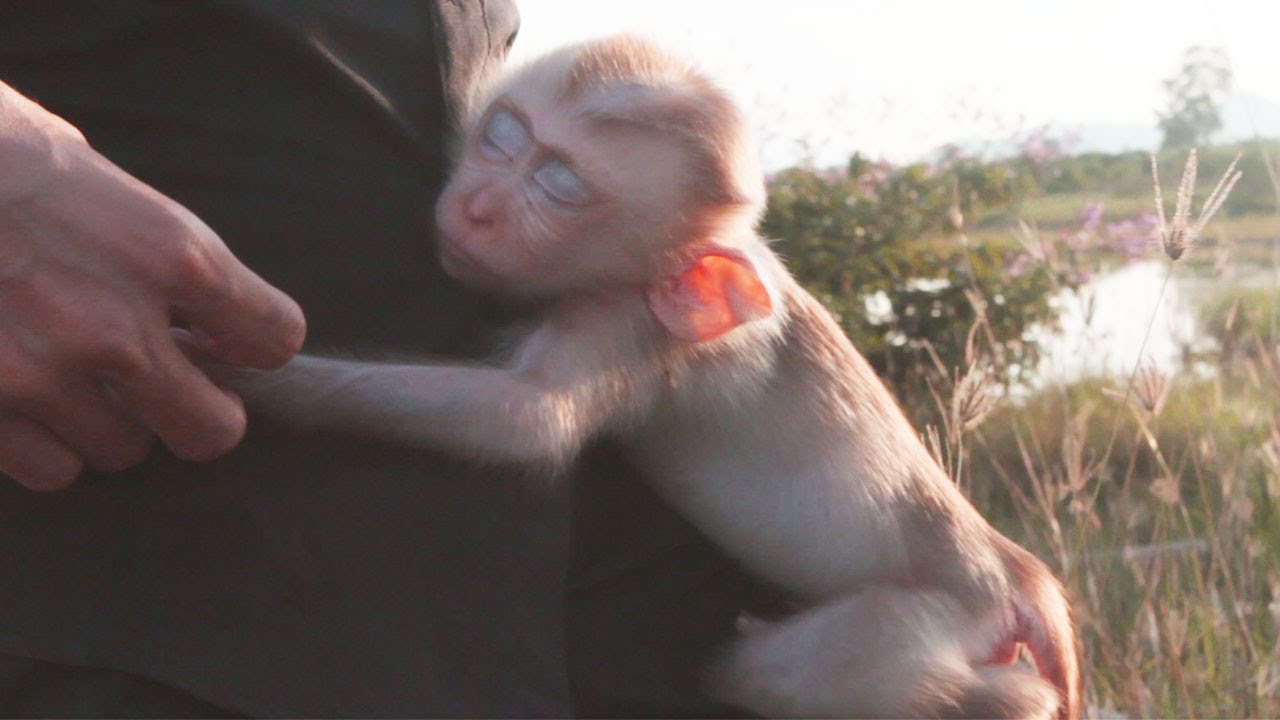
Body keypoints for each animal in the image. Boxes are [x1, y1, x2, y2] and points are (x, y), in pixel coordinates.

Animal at [210, 35, 1080, 719]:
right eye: (503, 137)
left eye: (558, 187)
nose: (480, 205)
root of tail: (1015, 572)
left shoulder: (627, 326)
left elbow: (523, 420)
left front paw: (248, 369)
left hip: (927, 621)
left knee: (770, 676)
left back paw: (1010, 699)